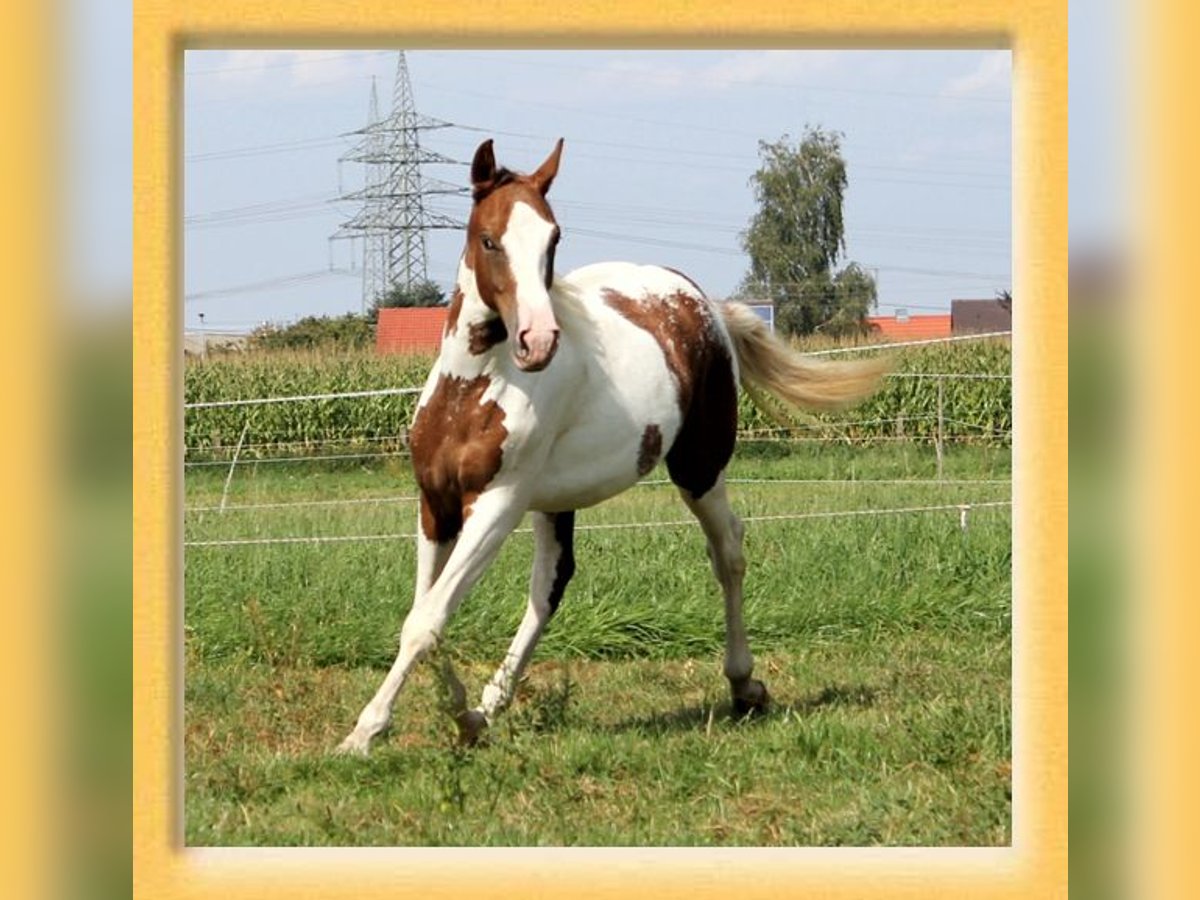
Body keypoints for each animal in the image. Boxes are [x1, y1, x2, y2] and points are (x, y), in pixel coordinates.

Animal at [338, 135, 883, 753]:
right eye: (489, 239)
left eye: (553, 238)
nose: (538, 340)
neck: (474, 386)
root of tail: (705, 305)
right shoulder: (437, 504)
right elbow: (427, 613)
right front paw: (463, 714)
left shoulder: (497, 505)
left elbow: (426, 621)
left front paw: (364, 733)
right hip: (556, 502)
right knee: (549, 586)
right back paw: (491, 705)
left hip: (699, 467)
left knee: (728, 552)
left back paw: (745, 685)